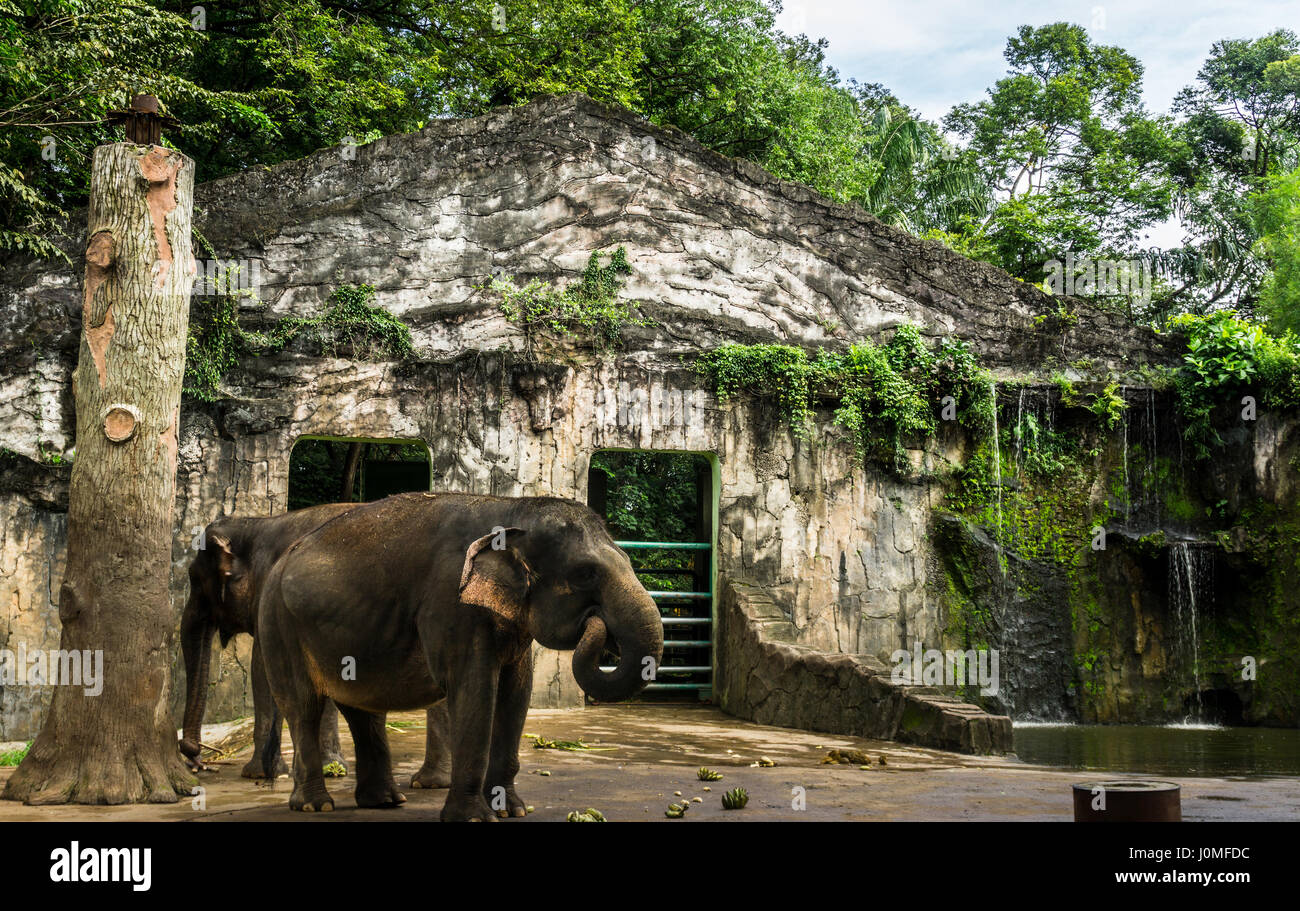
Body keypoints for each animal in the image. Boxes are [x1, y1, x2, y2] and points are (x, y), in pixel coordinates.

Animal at [178, 504, 452, 790]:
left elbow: (263, 668)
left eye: (195, 579)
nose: (193, 754)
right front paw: (330, 769)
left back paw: (428, 782)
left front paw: (258, 774)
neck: (256, 525)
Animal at [258, 493, 665, 821]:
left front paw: (511, 810)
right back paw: (314, 805)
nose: (597, 625)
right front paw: (473, 818)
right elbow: (475, 689)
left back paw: (385, 801)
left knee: (363, 712)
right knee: (303, 707)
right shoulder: (450, 602)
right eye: (585, 573)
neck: (512, 510)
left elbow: (516, 694)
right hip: (279, 627)